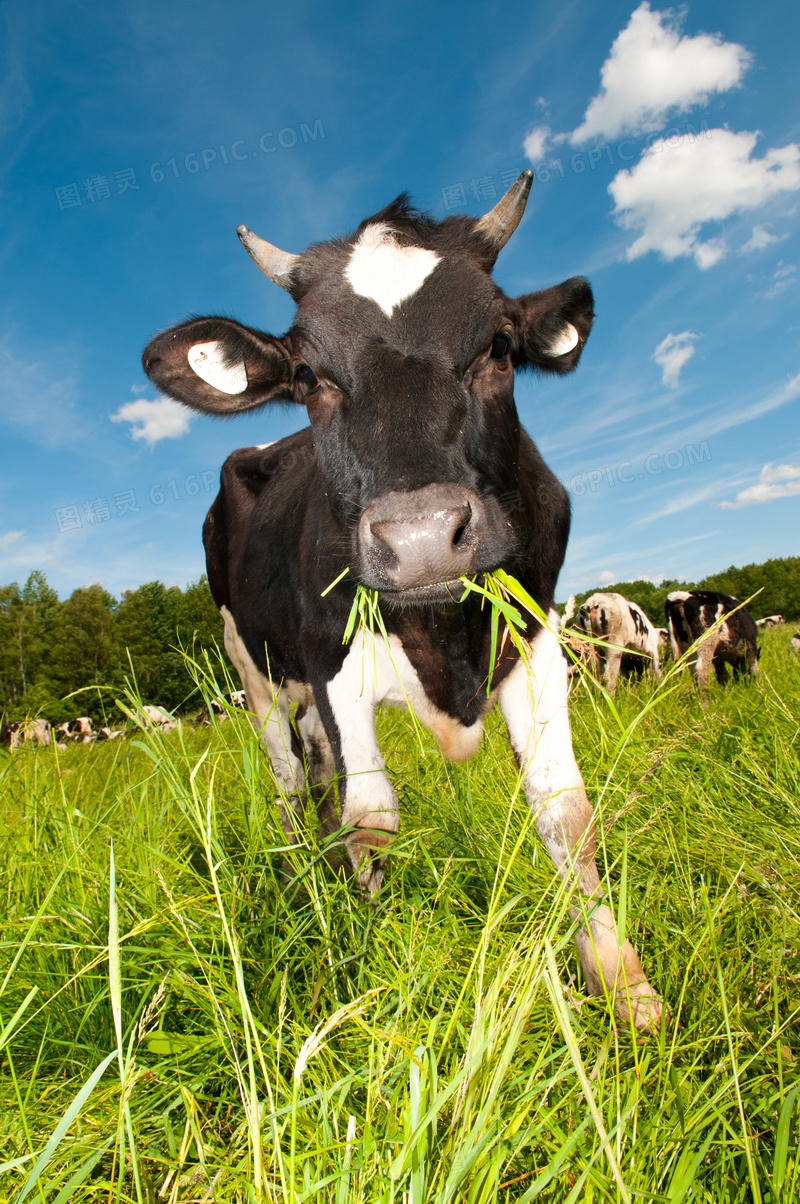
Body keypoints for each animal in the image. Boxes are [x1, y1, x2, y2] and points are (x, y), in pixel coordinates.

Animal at [142, 172, 660, 1035]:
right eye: (308, 378)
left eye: (500, 346)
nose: (419, 538)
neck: (442, 636)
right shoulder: (331, 664)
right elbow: (373, 818)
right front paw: (371, 969)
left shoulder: (537, 636)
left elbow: (565, 812)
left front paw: (624, 988)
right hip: (253, 669)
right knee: (292, 785)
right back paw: (303, 891)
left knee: (319, 777)